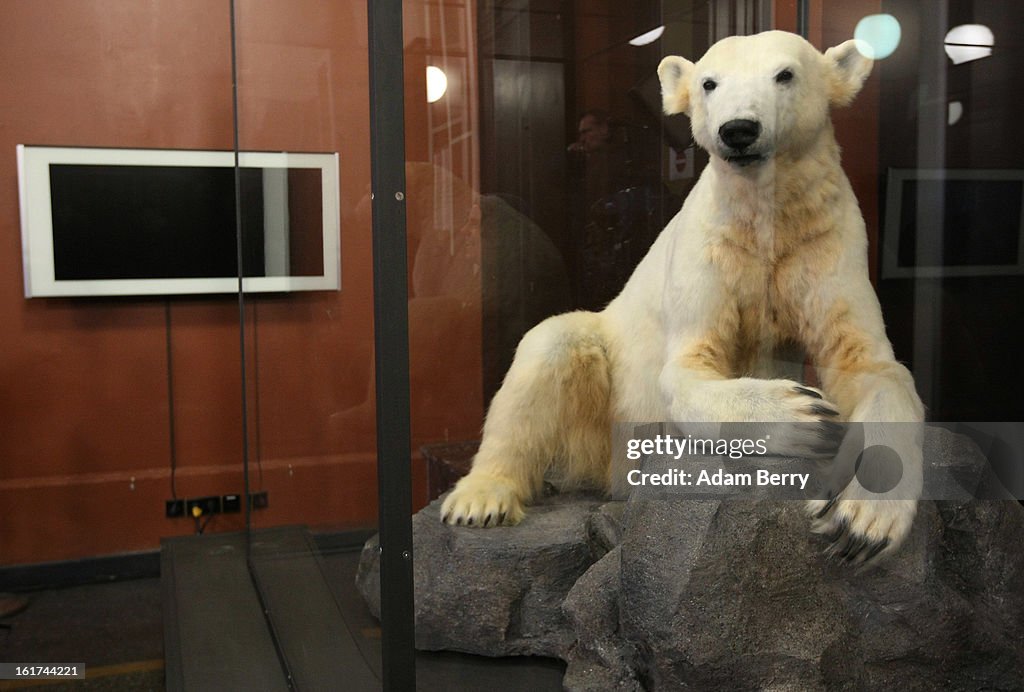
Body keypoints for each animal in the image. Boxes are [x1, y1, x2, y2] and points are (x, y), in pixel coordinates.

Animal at [444, 29, 925, 565]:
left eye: (785, 74)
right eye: (709, 82)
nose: (739, 129)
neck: (766, 221)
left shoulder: (824, 242)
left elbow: (870, 364)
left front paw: (861, 522)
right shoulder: (709, 249)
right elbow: (686, 369)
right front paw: (807, 413)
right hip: (606, 396)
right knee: (548, 350)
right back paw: (481, 497)